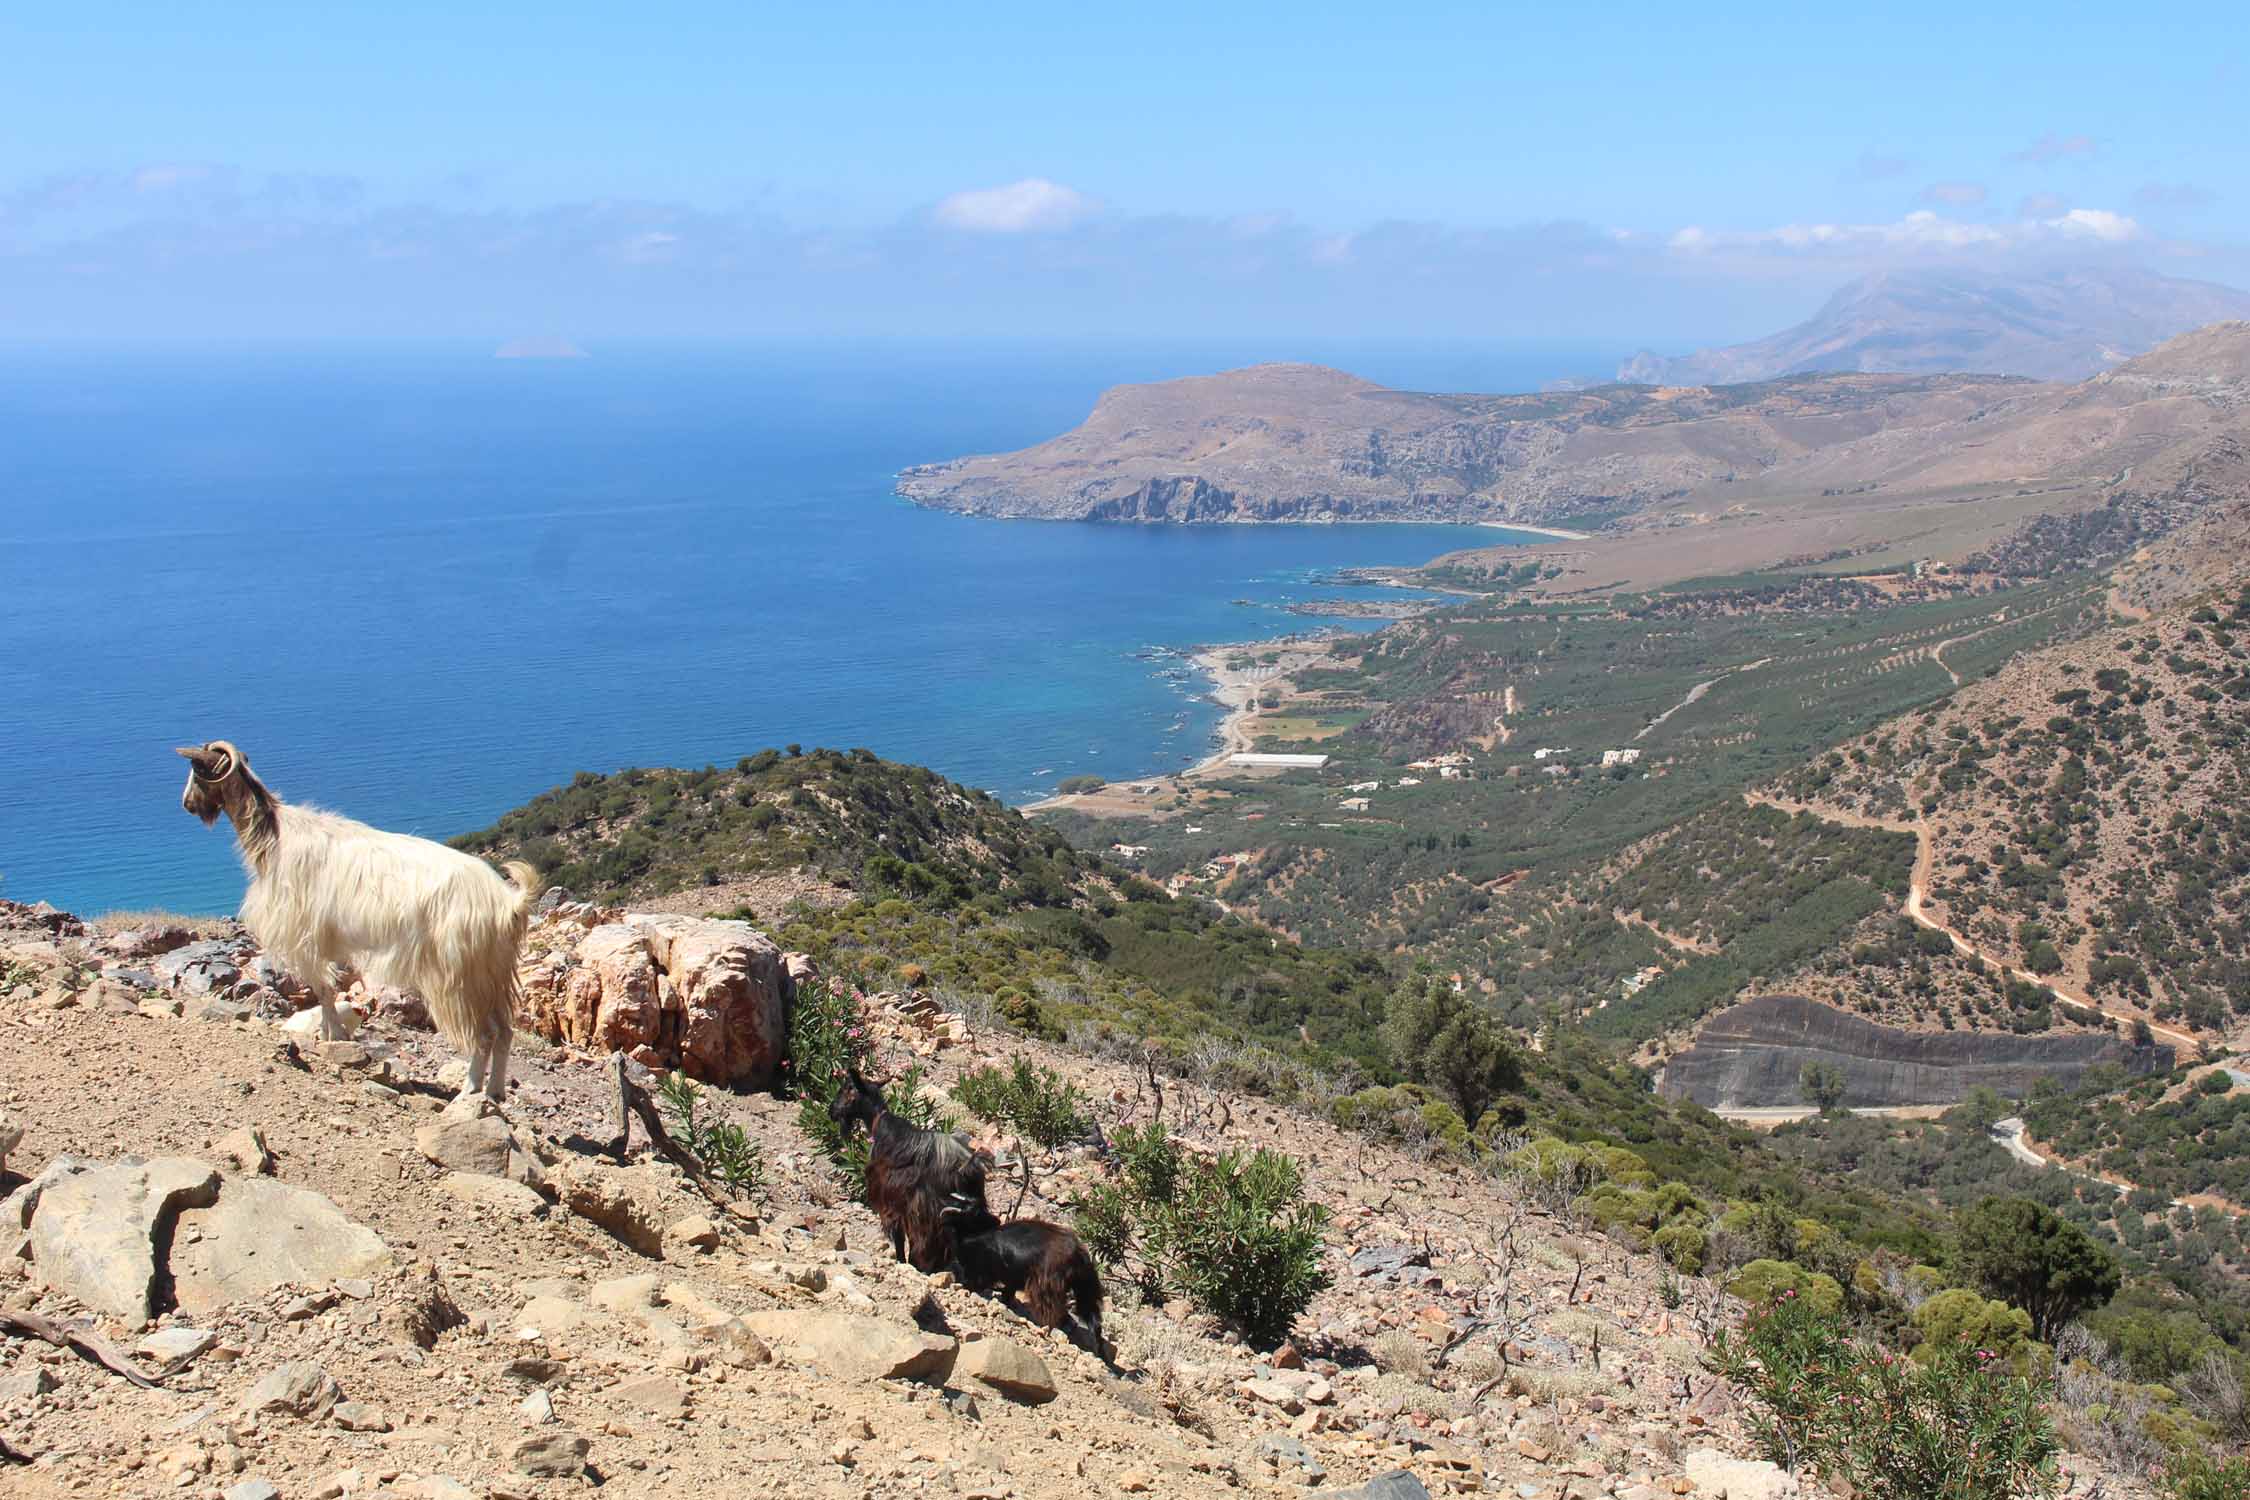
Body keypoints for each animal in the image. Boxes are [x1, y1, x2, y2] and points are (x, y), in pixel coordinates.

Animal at [180, 742, 540, 1101]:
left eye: (198, 770)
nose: (187, 804)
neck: (275, 836)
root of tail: (507, 903)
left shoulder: (305, 938)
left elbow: (323, 991)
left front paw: (333, 1036)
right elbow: (327, 992)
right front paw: (331, 1034)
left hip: (460, 976)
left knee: (484, 1034)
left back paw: (470, 1090)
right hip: (493, 972)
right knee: (505, 1032)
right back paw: (495, 1091)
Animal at [832, 1074, 990, 1277]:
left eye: (847, 1088)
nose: (831, 1111)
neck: (881, 1125)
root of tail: (967, 1165)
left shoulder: (892, 1202)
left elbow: (899, 1238)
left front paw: (903, 1262)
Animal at [936, 1196, 1102, 1358]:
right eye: (974, 1213)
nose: (996, 1220)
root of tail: (1078, 1254)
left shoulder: (980, 1274)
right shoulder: (1010, 1280)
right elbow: (1006, 1295)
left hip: (1046, 1288)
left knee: (1055, 1313)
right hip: (1085, 1289)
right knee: (1092, 1319)